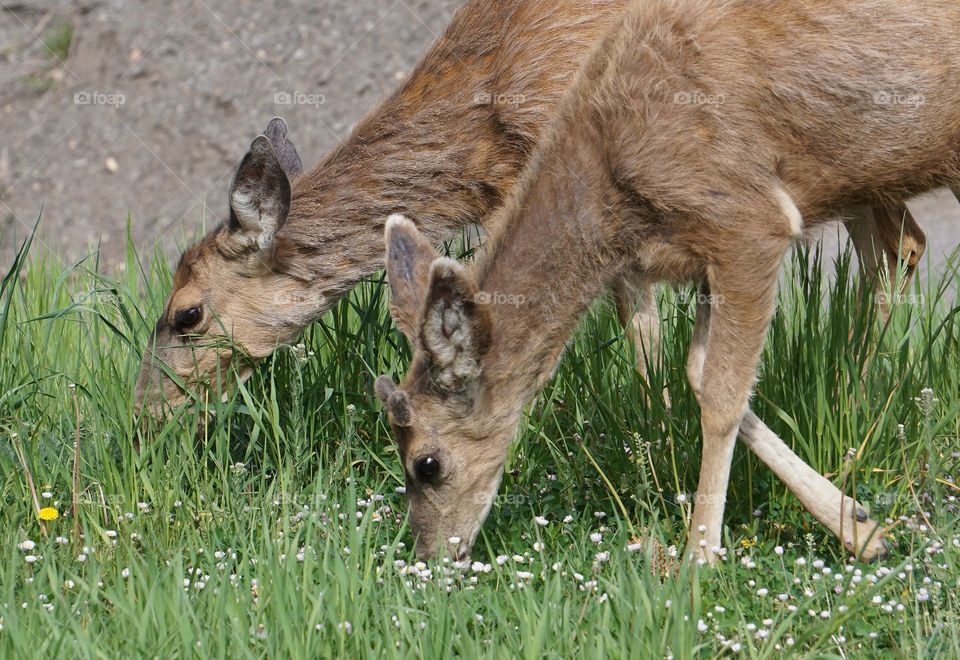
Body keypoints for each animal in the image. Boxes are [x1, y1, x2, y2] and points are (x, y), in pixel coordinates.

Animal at [135, 0, 924, 422]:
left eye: (186, 313)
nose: (141, 415)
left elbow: (636, 319)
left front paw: (651, 419)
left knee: (902, 247)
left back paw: (858, 394)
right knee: (900, 246)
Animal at [376, 0, 960, 564]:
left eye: (426, 463)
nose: (430, 558)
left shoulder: (748, 221)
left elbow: (721, 394)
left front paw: (698, 560)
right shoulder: (704, 255)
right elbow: (699, 373)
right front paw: (863, 528)